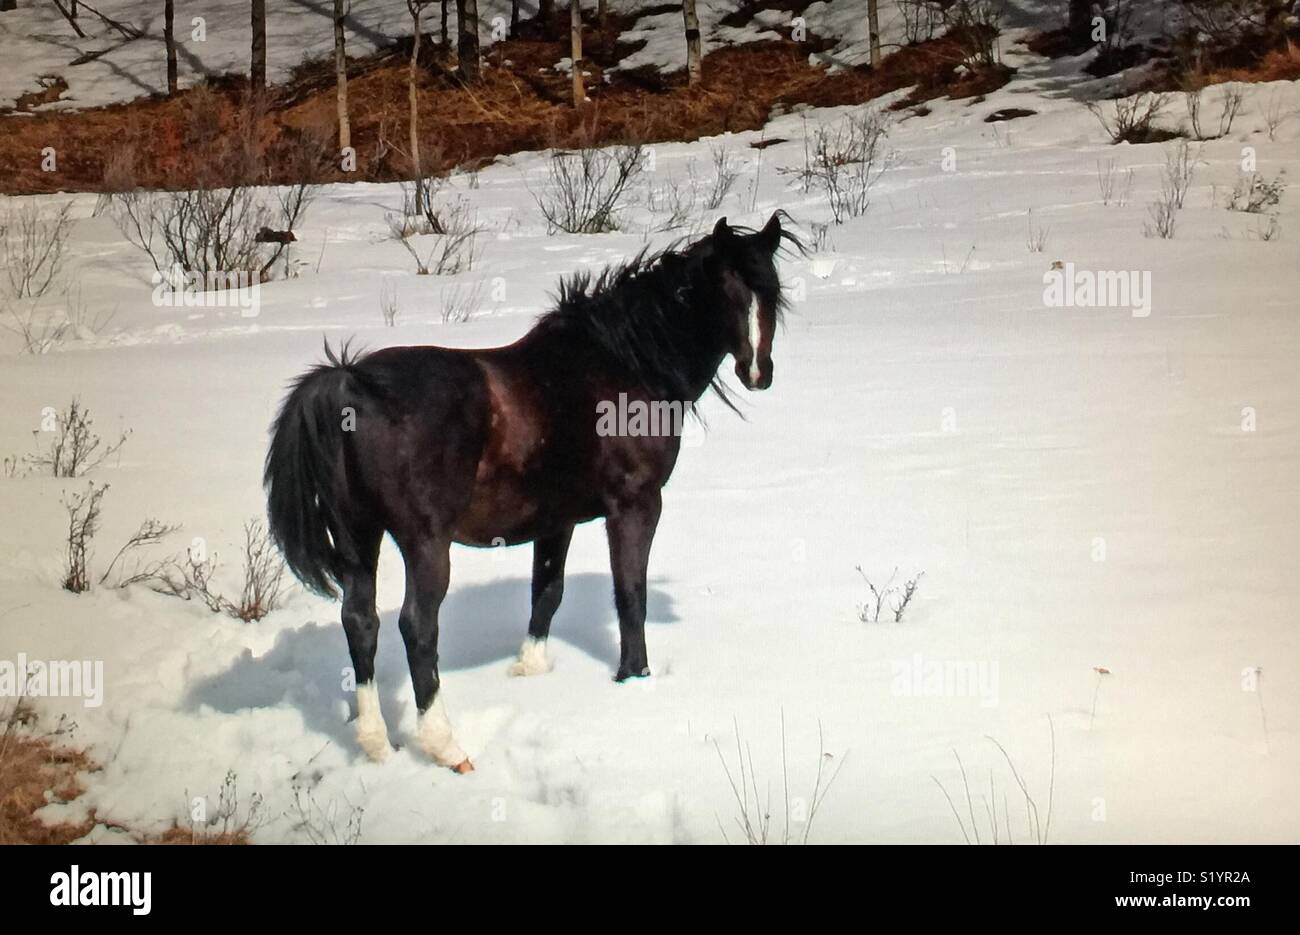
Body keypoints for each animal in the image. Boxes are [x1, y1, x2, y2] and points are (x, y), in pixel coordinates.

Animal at [264, 213, 800, 772]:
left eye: (773, 292)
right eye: (727, 293)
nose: (758, 372)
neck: (626, 365)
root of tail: (351, 383)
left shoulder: (555, 520)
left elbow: (547, 591)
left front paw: (530, 669)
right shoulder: (636, 504)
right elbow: (630, 594)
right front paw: (634, 676)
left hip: (357, 538)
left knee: (360, 621)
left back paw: (374, 742)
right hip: (424, 545)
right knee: (417, 627)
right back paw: (445, 744)